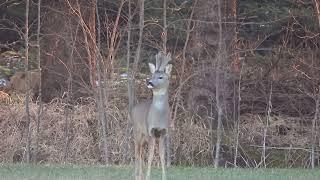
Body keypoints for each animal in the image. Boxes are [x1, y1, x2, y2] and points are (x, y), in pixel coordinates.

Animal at [131, 51, 172, 179]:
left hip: (143, 137)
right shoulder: (150, 131)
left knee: (141, 152)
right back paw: (137, 175)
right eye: (152, 75)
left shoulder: (163, 132)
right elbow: (150, 155)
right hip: (137, 132)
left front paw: (164, 177)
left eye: (160, 77)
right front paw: (148, 177)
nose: (149, 82)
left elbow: (162, 155)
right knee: (137, 151)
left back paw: (141, 175)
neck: (159, 117)